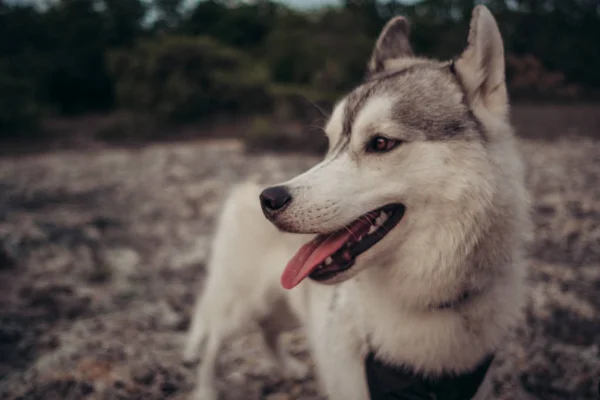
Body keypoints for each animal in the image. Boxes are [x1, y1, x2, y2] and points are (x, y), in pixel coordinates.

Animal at [183, 6, 528, 400]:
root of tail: (245, 187)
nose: (269, 200)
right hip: (241, 306)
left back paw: (288, 367)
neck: (431, 301)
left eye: (380, 143)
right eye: (331, 142)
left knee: (268, 331)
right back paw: (206, 389)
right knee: (213, 343)